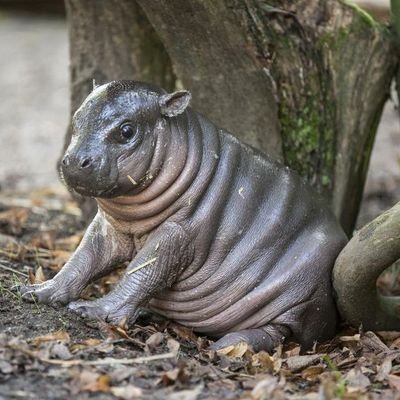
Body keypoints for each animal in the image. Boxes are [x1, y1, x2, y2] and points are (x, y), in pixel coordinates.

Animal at [21, 82, 346, 354]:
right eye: (76, 118)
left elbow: (144, 270)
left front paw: (90, 311)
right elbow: (83, 259)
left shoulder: (178, 234)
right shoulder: (108, 227)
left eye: (127, 131)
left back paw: (226, 347)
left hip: (303, 298)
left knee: (278, 332)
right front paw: (36, 292)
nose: (74, 160)